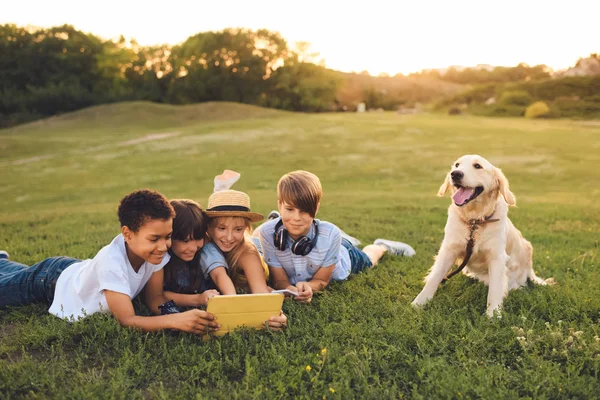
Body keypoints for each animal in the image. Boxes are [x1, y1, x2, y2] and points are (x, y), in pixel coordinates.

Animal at [410, 155, 552, 318]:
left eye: (477, 166)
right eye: (457, 165)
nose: (455, 174)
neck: (474, 221)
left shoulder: (497, 257)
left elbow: (495, 289)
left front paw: (493, 315)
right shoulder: (448, 250)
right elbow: (435, 276)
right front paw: (419, 304)